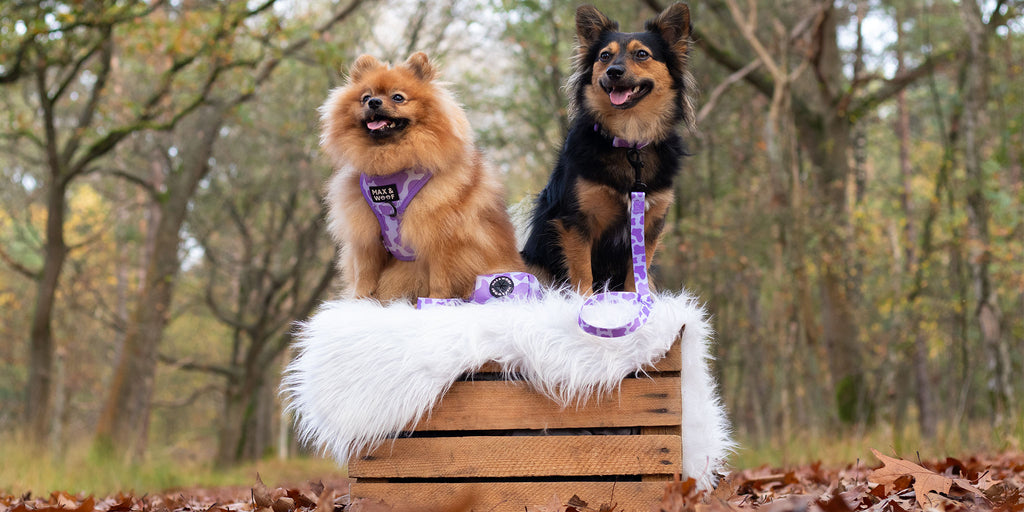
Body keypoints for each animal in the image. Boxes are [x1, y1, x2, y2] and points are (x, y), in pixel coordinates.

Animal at [319, 52, 524, 299]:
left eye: (398, 97)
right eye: (365, 97)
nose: (374, 102)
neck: (390, 165)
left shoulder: (440, 238)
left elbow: (439, 279)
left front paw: (436, 302)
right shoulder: (366, 234)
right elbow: (365, 273)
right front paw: (359, 301)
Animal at [520, 4, 696, 294]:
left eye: (641, 54)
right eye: (604, 56)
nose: (613, 71)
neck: (629, 139)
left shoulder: (649, 225)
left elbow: (636, 277)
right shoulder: (577, 222)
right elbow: (583, 274)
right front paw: (585, 301)